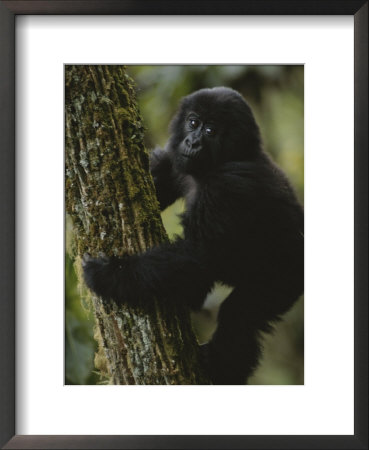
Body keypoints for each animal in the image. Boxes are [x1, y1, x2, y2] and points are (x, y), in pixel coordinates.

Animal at [84, 87, 304, 384]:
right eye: (193, 122)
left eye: (210, 130)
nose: (193, 141)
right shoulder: (177, 160)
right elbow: (158, 180)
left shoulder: (228, 186)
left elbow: (197, 254)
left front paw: (111, 273)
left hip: (284, 279)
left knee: (241, 317)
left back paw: (221, 369)